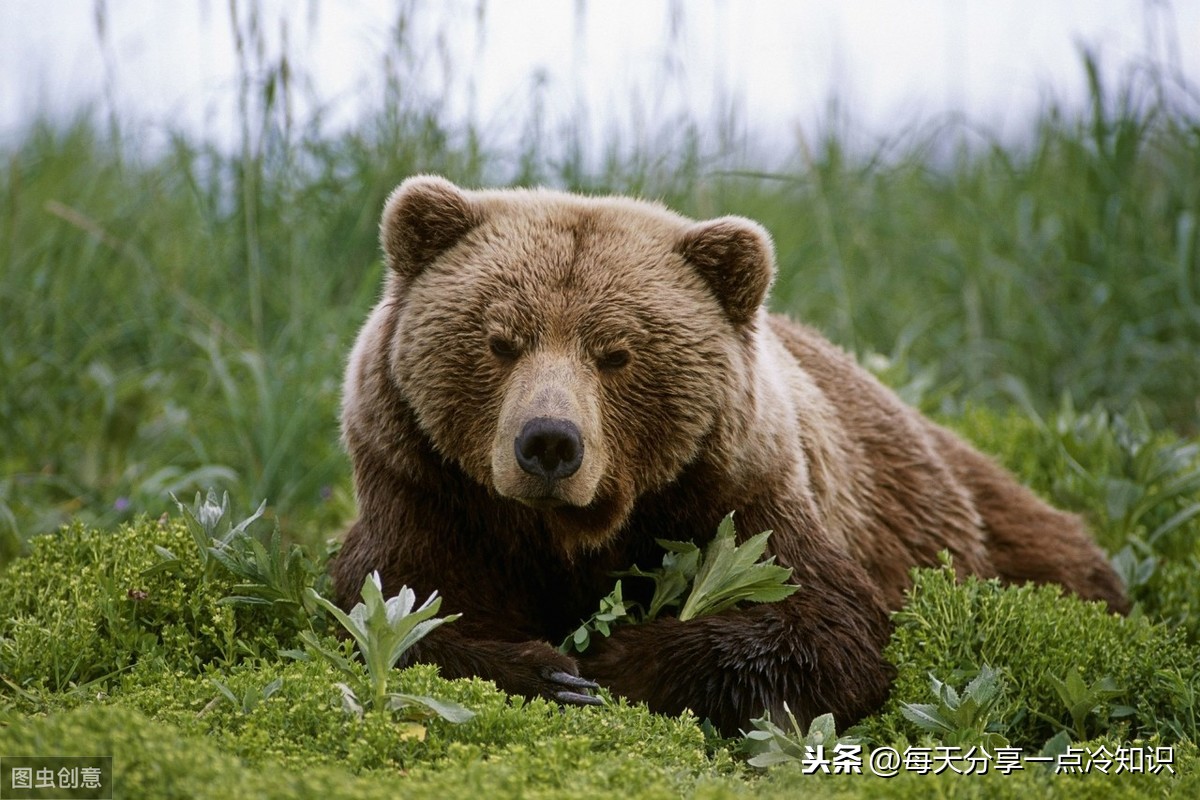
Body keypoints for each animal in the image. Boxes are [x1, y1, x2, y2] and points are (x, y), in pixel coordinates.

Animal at [333, 176, 1128, 738]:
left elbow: (825, 629)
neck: (571, 531)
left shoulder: (739, 492)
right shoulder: (426, 489)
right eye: (501, 341)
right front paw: (550, 671)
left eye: (616, 353)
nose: (549, 442)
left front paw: (614, 663)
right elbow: (395, 606)